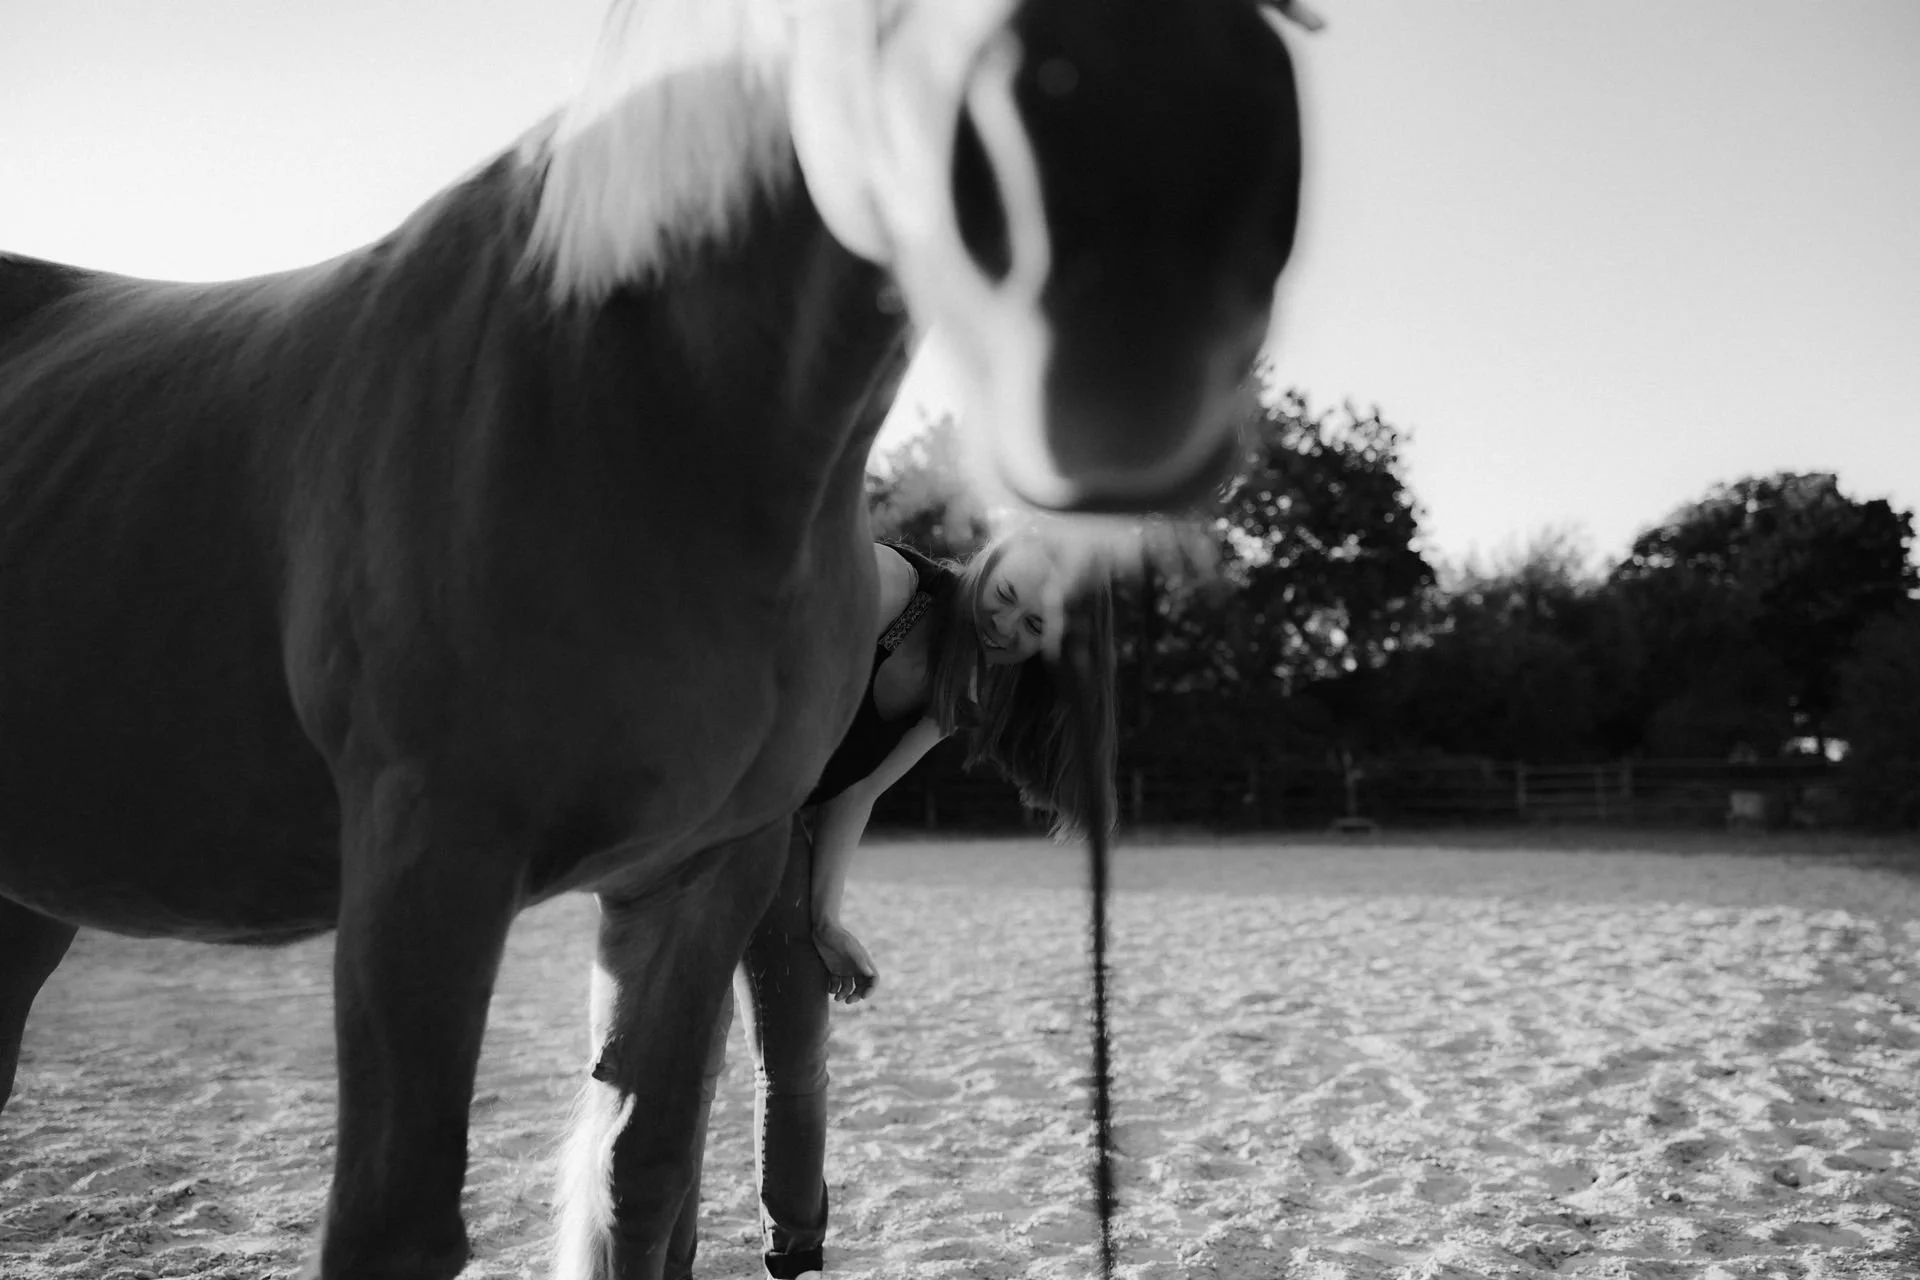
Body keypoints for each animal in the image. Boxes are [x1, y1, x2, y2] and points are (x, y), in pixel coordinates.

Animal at [0, 1, 1310, 1276]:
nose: (1179, 187)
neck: (645, 411)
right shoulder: (426, 865)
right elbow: (399, 1223)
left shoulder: (705, 869)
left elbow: (647, 1171)